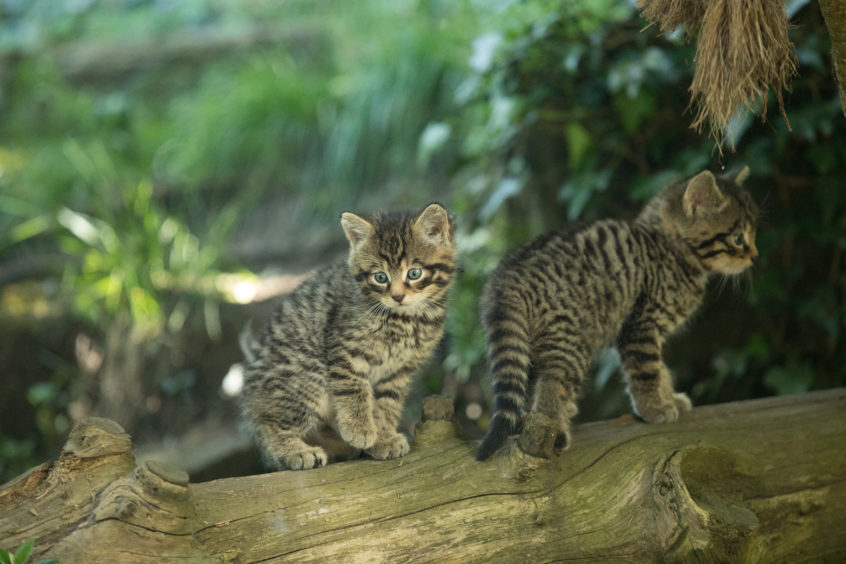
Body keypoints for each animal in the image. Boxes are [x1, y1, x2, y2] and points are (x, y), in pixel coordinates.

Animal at [242, 205, 458, 470]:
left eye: (414, 273)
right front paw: (360, 430)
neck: (407, 319)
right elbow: (353, 387)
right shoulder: (344, 347)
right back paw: (297, 452)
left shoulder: (399, 371)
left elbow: (386, 404)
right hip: (305, 374)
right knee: (270, 422)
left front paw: (382, 438)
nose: (398, 296)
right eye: (380, 277)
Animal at [476, 165, 760, 460]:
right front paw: (653, 408)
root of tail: (507, 277)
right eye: (738, 238)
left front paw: (669, 398)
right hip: (570, 340)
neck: (669, 248)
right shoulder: (641, 327)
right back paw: (555, 429)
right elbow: (647, 371)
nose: (755, 255)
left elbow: (661, 368)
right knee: (553, 383)